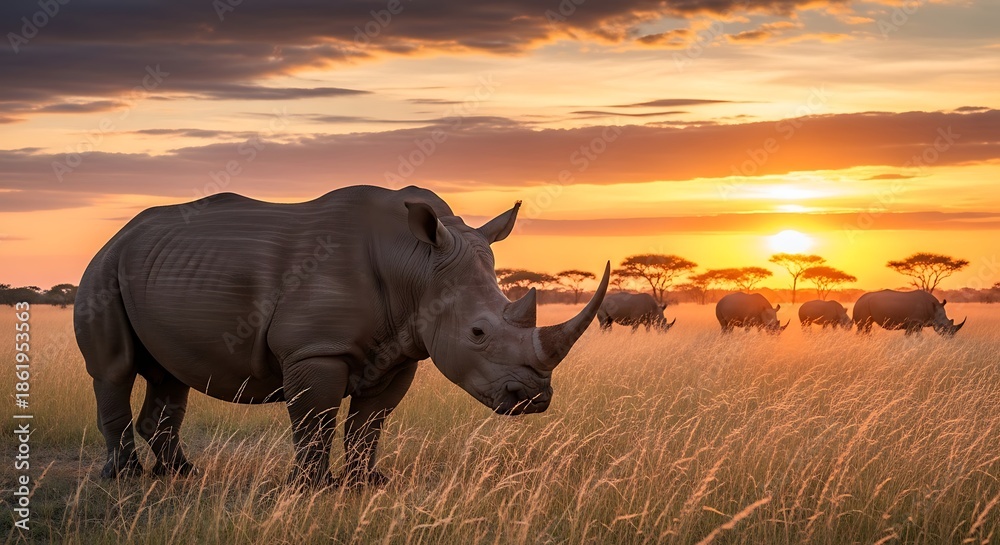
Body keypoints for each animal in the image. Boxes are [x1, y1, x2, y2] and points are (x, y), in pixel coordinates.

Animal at [74, 185, 610, 487]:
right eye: (477, 332)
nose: (534, 399)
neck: (418, 265)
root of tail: (119, 235)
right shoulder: (315, 349)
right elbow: (315, 421)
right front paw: (311, 487)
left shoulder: (402, 350)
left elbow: (368, 425)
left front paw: (368, 482)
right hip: (102, 268)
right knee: (114, 371)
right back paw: (124, 479)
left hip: (153, 267)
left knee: (170, 375)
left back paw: (181, 474)